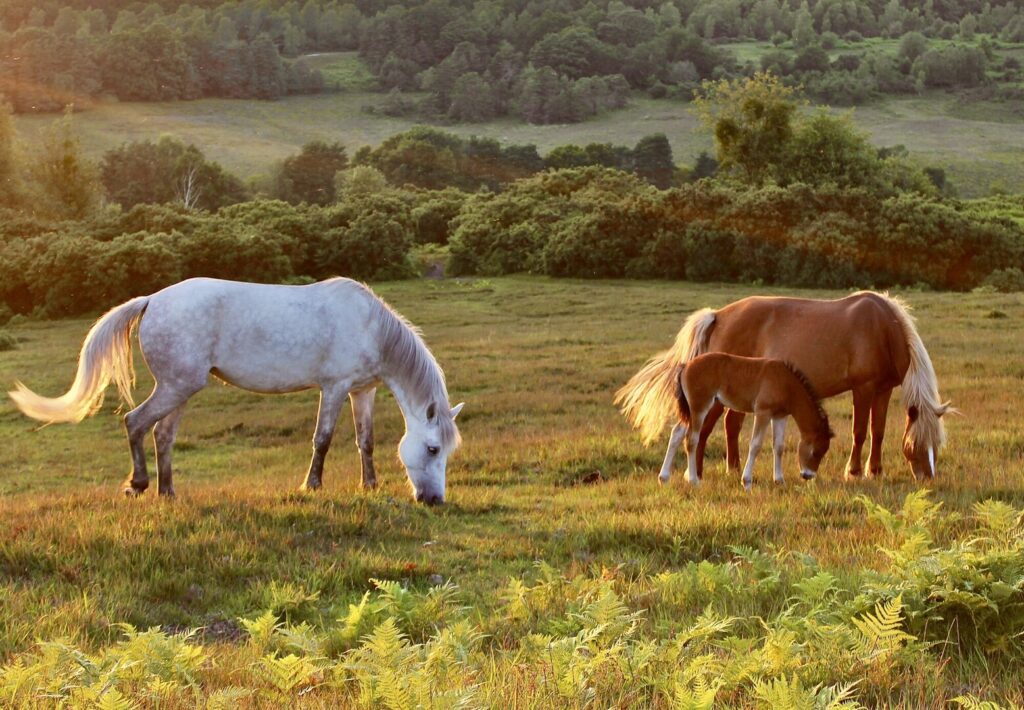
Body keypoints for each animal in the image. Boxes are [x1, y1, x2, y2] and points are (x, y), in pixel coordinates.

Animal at [8, 277, 464, 504]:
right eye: (432, 449)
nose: (434, 500)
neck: (368, 324)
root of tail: (152, 299)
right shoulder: (334, 388)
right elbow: (323, 439)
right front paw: (311, 486)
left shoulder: (361, 391)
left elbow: (364, 441)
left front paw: (369, 486)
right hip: (176, 387)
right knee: (135, 422)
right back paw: (138, 484)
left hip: (180, 388)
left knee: (162, 435)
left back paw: (168, 492)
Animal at [671, 353, 834, 490]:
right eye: (815, 452)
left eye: (824, 452)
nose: (808, 475)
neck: (785, 383)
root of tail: (685, 366)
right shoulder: (763, 413)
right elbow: (755, 445)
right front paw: (747, 482)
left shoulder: (780, 416)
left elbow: (779, 446)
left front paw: (779, 481)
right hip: (699, 408)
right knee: (691, 439)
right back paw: (693, 480)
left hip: (691, 411)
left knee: (677, 432)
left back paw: (665, 478)